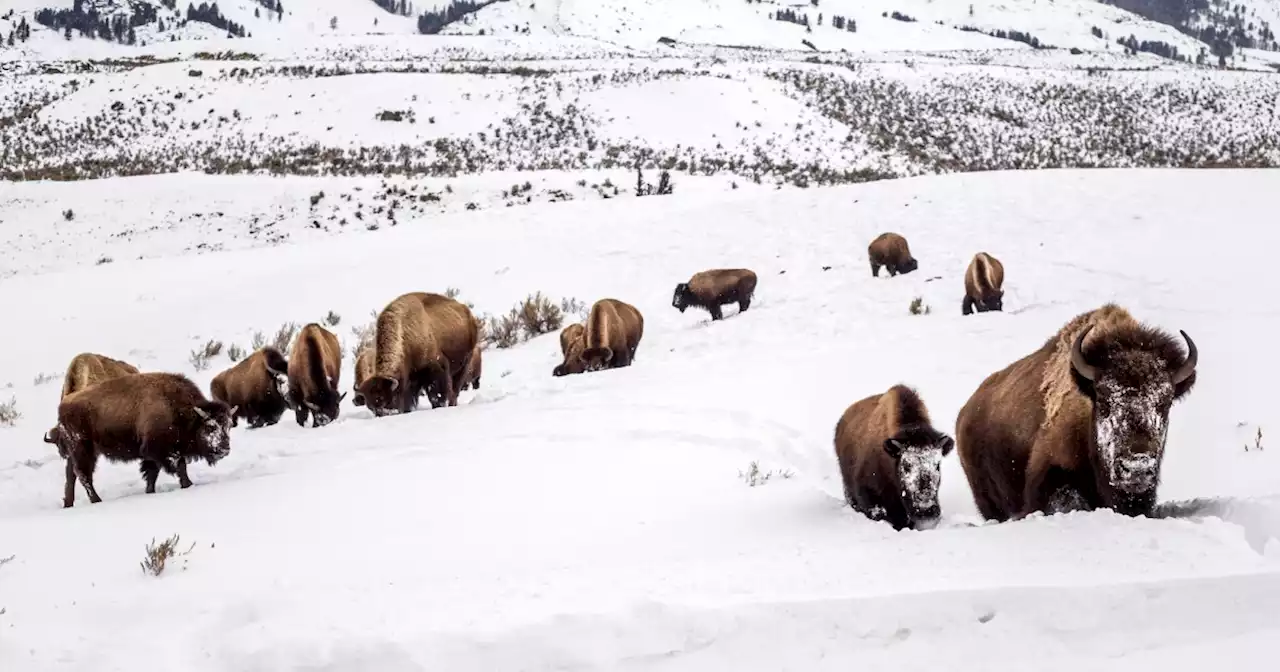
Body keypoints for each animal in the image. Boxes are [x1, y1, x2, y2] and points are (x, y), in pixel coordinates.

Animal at [51, 368, 238, 506]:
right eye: (211, 426)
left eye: (228, 426)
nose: (225, 449)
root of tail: (63, 405)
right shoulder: (160, 450)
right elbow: (179, 467)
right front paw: (188, 485)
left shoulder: (154, 454)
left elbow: (152, 473)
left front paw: (150, 491)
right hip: (84, 450)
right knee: (84, 475)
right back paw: (97, 501)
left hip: (78, 453)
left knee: (71, 475)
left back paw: (69, 503)